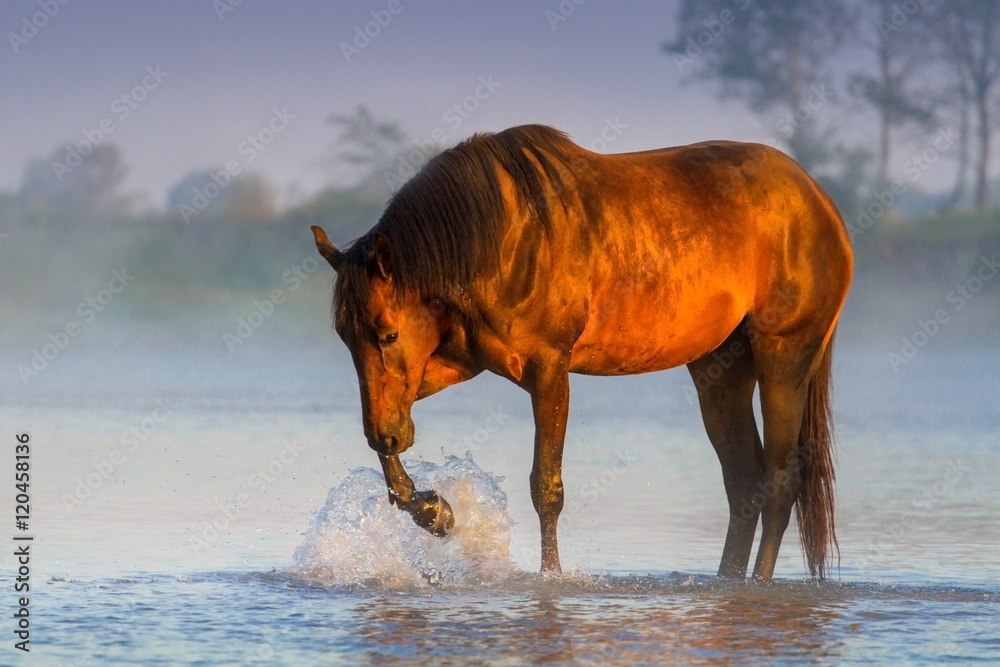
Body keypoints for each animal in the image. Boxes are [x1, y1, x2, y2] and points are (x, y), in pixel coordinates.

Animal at [312, 124, 852, 580]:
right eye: (345, 336)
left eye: (387, 335)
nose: (384, 433)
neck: (499, 239)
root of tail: (821, 204)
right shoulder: (455, 363)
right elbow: (392, 454)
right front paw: (436, 512)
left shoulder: (550, 369)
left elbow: (546, 487)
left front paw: (551, 577)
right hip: (721, 370)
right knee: (744, 480)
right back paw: (727, 583)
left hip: (784, 358)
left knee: (781, 481)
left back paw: (757, 584)